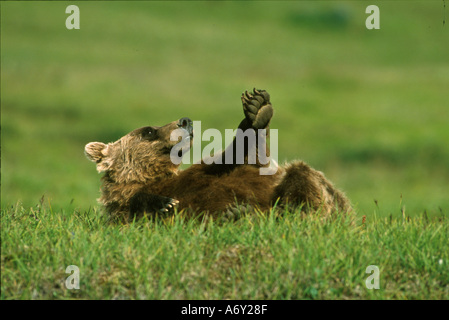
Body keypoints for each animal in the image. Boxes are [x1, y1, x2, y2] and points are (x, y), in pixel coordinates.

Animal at [84, 89, 350, 221]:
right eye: (149, 130)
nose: (185, 120)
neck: (155, 177)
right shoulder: (125, 207)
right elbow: (137, 208)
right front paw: (164, 203)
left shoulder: (202, 172)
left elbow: (235, 160)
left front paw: (256, 110)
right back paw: (242, 215)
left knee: (299, 177)